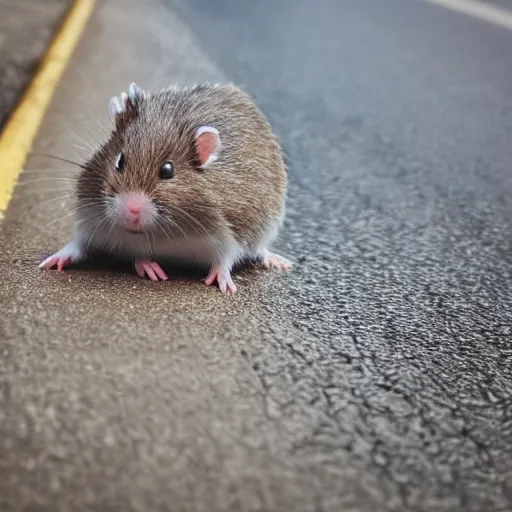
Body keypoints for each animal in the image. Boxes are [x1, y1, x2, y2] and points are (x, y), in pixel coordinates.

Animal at [38, 82, 290, 294]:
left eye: (168, 171)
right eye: (119, 161)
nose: (131, 211)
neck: (160, 233)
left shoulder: (229, 236)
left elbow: (224, 261)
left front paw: (224, 284)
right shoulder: (99, 224)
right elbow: (116, 250)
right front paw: (150, 268)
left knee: (259, 250)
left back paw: (276, 260)